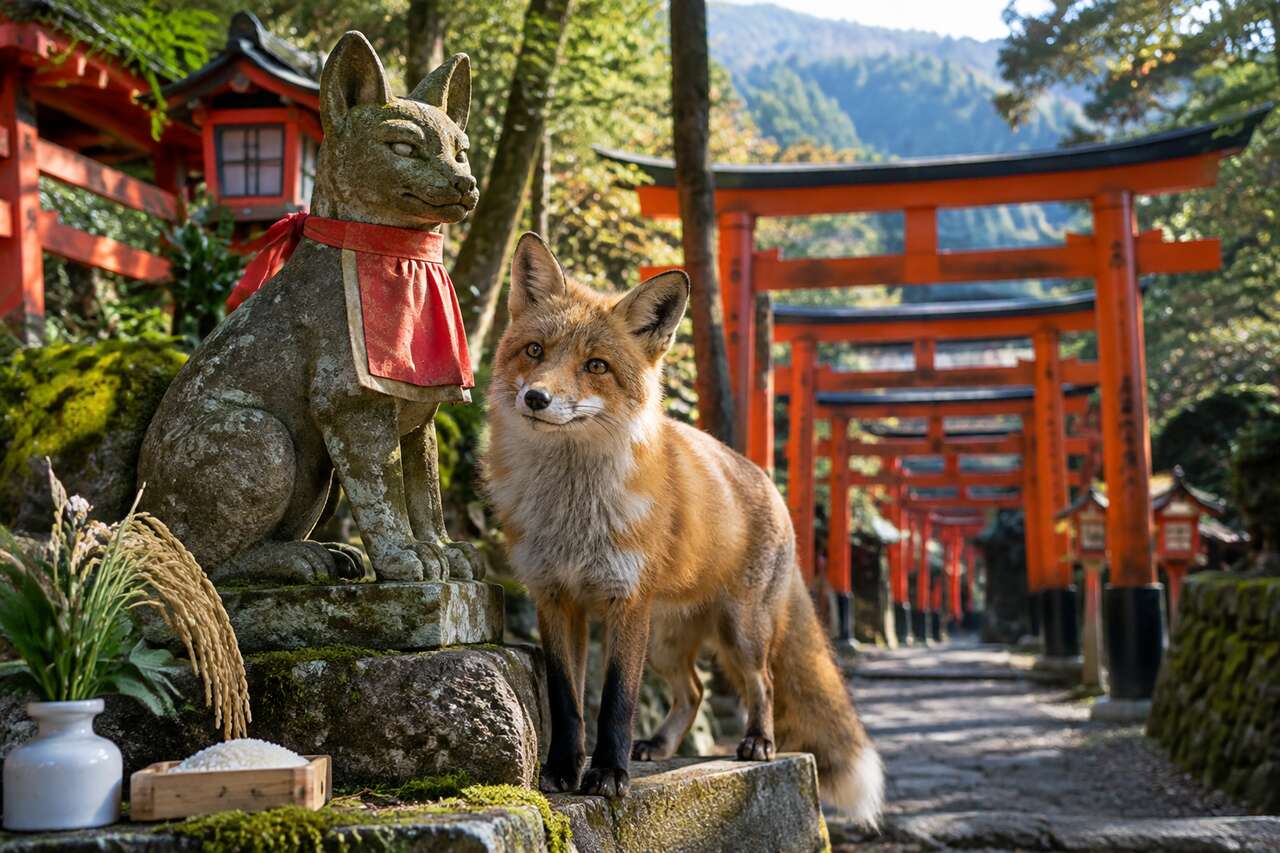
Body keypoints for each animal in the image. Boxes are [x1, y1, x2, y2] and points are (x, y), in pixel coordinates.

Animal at [483, 233, 884, 825]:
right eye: (535, 351)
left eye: (596, 365)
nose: (535, 398)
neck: (574, 512)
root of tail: (763, 478)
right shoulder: (555, 599)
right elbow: (568, 701)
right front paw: (562, 771)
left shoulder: (625, 601)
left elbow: (617, 701)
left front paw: (608, 775)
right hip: (666, 640)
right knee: (692, 690)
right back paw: (660, 745)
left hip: (738, 630)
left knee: (762, 682)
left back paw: (758, 742)